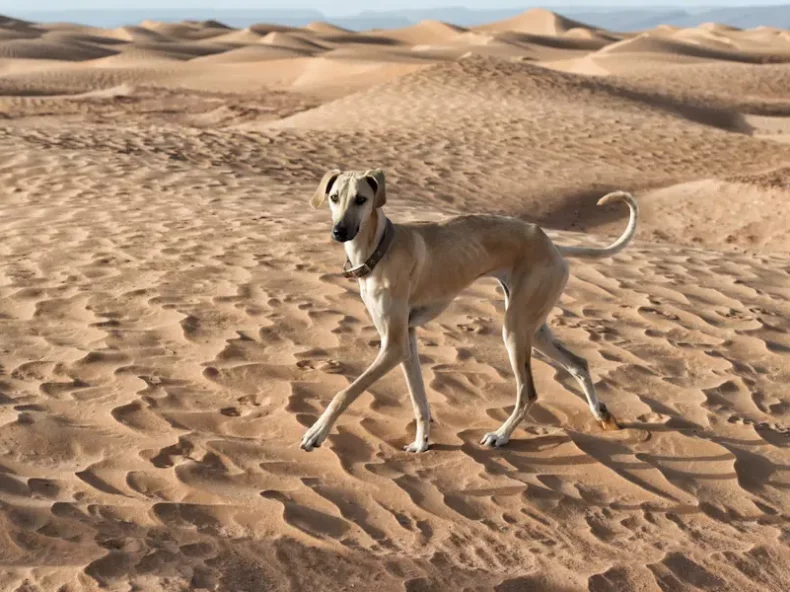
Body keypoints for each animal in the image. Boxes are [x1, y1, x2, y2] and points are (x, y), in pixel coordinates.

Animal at [300, 168, 640, 454]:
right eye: (334, 197)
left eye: (361, 199)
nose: (339, 231)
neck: (381, 247)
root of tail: (553, 245)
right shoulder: (405, 341)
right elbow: (419, 401)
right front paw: (421, 444)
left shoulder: (393, 345)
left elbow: (344, 393)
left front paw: (316, 433)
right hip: (534, 327)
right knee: (579, 363)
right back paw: (601, 414)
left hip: (514, 330)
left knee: (528, 392)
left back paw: (501, 435)